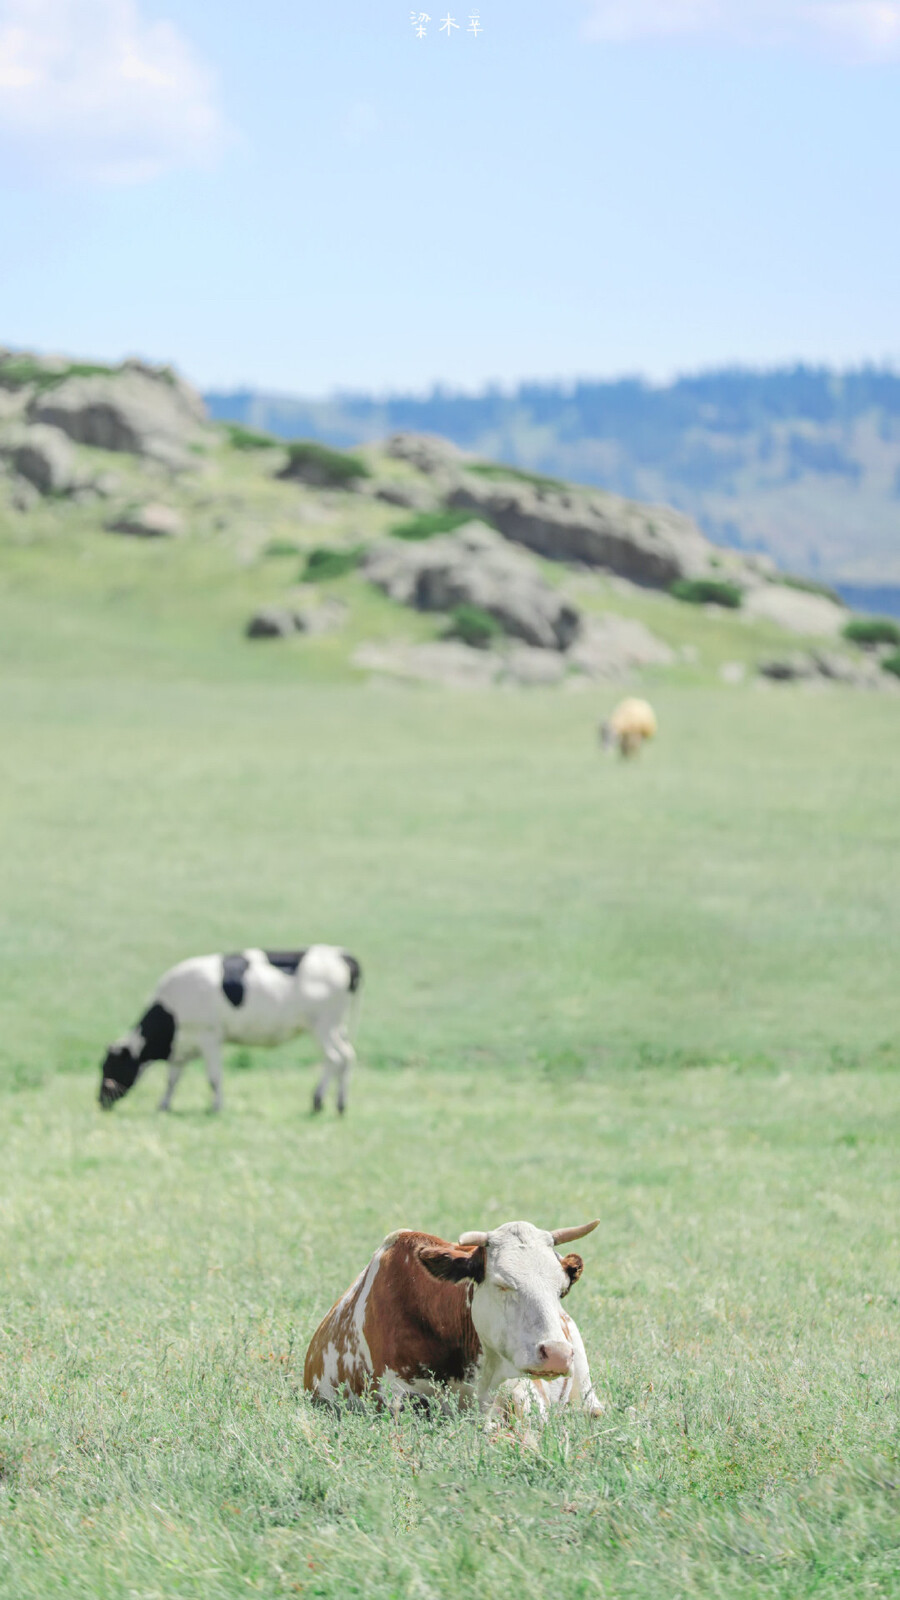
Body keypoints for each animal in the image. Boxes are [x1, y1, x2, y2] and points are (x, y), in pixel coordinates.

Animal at [98, 947, 360, 1113]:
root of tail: (343, 956)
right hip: (339, 1027)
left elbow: (213, 1078)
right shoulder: (181, 1045)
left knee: (335, 1058)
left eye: (109, 1068)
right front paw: (163, 1105)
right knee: (347, 1056)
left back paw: (319, 1102)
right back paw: (340, 1105)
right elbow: (172, 1079)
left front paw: (216, 1107)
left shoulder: (209, 1036)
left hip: (323, 1025)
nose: (99, 1101)